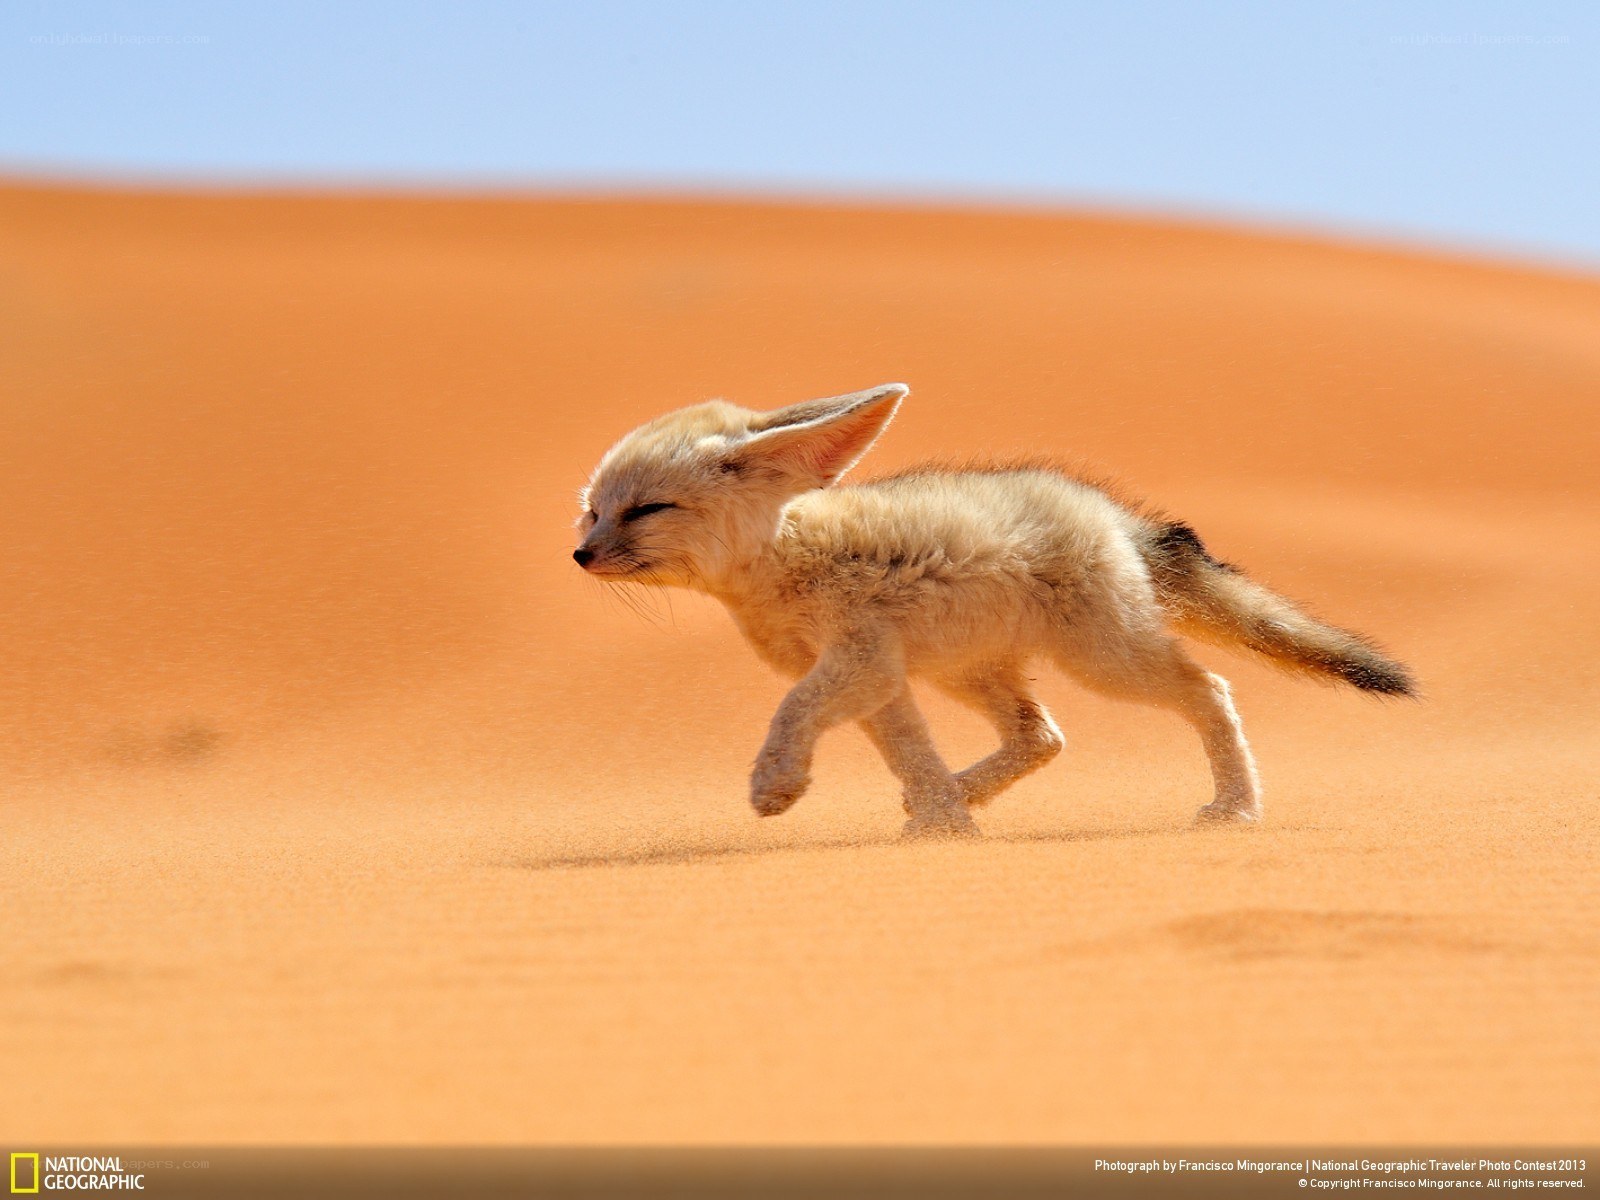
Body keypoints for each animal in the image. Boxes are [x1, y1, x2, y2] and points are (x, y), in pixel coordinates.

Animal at [573, 383, 1414, 838]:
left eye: (646, 510)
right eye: (593, 512)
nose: (580, 555)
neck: (783, 558)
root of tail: (1110, 512)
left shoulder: (857, 661)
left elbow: (792, 711)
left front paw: (776, 783)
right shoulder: (880, 678)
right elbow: (909, 753)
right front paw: (945, 823)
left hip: (1105, 662)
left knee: (1210, 690)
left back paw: (1236, 807)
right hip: (968, 672)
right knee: (1042, 736)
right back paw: (960, 793)